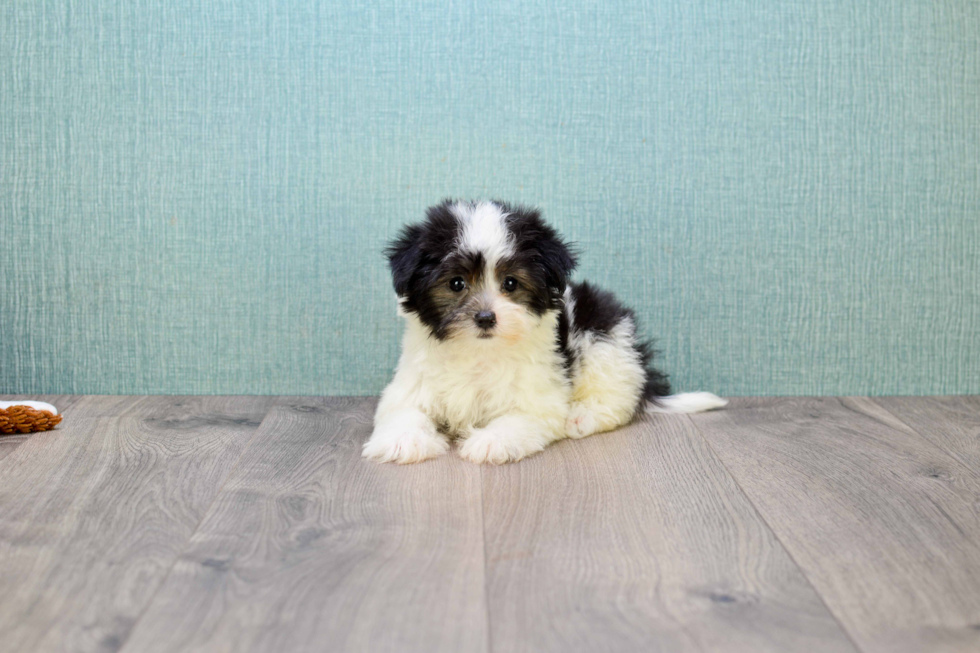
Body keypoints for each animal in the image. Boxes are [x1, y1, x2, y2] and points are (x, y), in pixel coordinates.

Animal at [364, 199, 724, 464]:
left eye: (511, 283)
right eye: (456, 283)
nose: (485, 317)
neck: (479, 351)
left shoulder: (540, 394)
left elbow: (520, 417)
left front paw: (492, 441)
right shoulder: (413, 383)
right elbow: (403, 410)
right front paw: (403, 440)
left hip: (604, 335)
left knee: (617, 397)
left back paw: (583, 416)